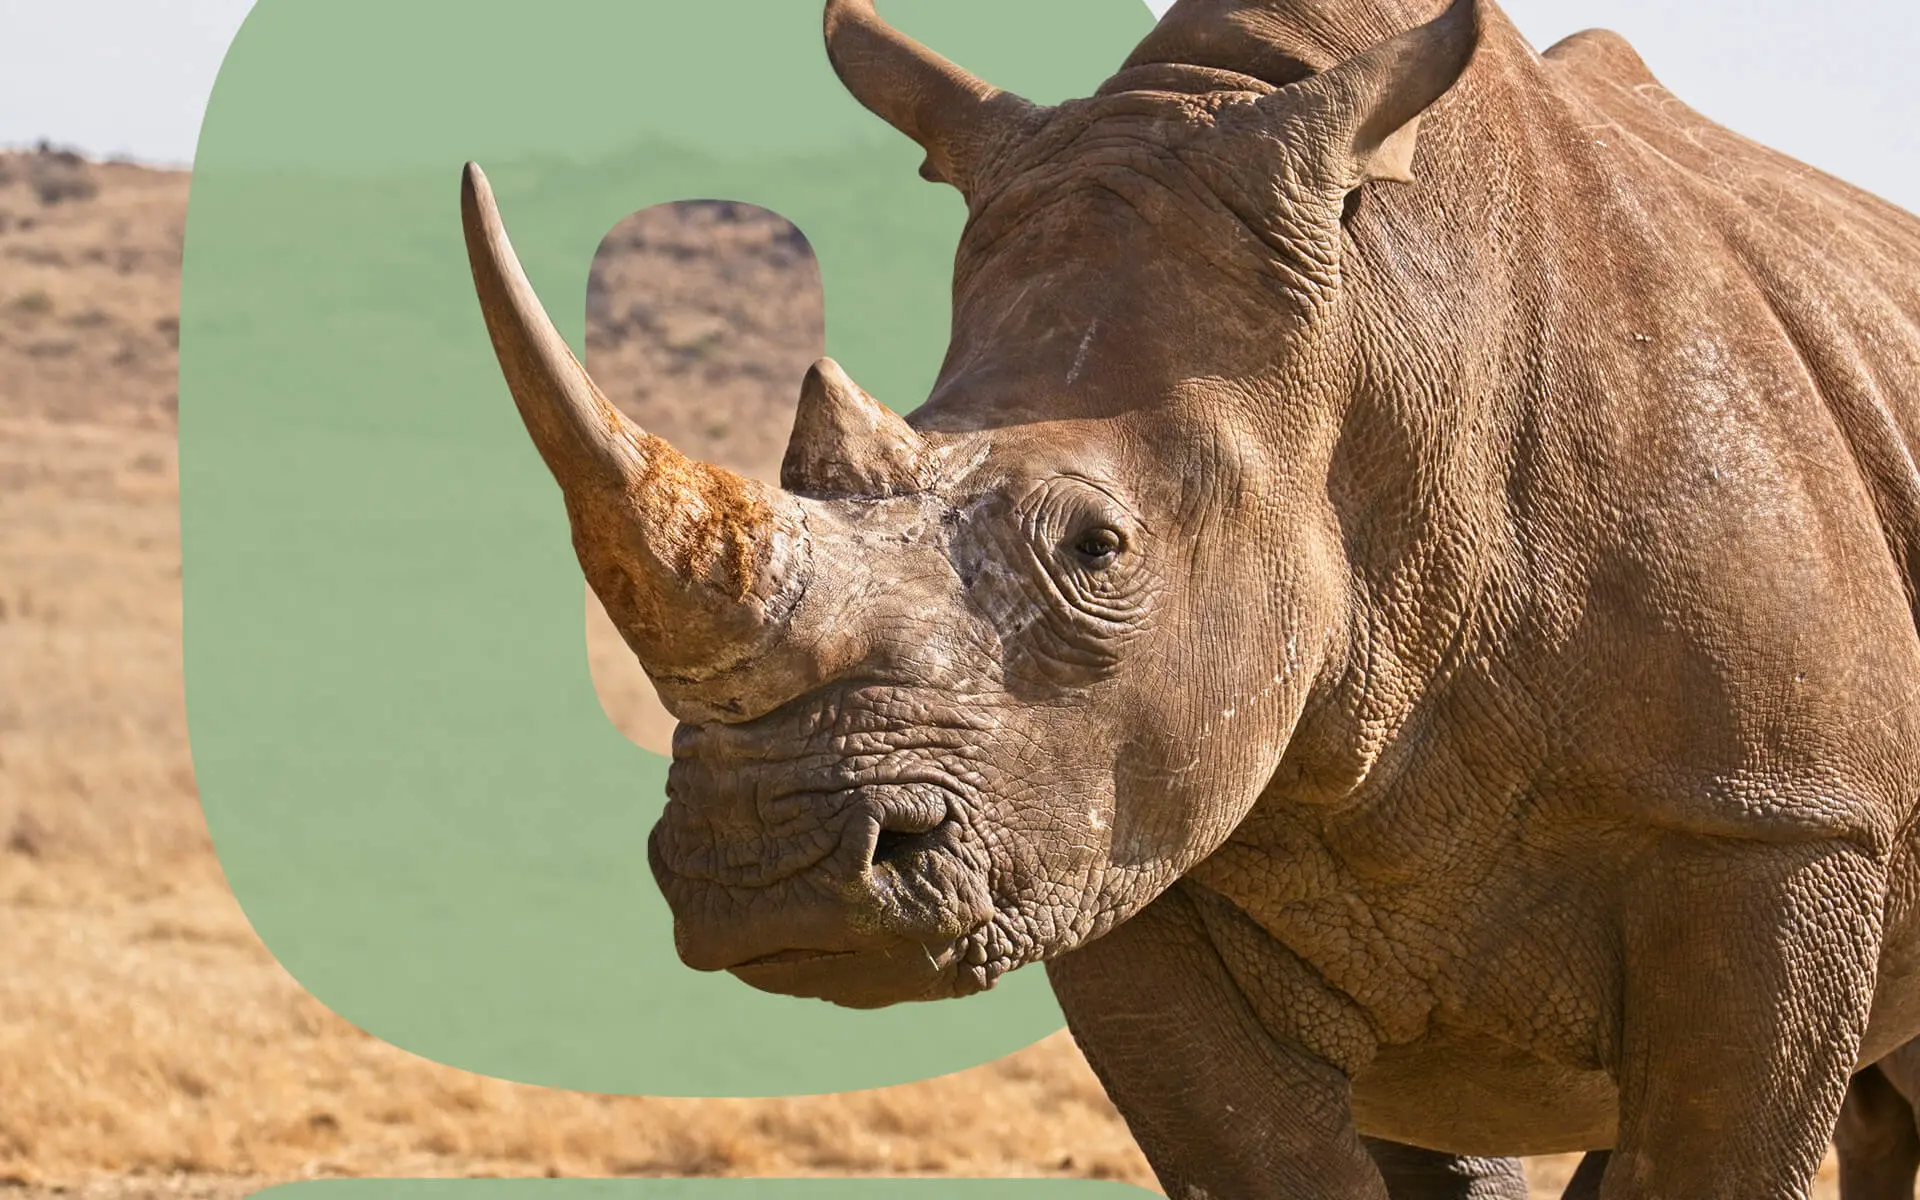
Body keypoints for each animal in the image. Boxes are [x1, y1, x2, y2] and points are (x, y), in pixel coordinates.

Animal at [457, 0, 1920, 1194]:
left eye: (1098, 549)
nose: (768, 871)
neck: (1389, 339)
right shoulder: (1115, 847)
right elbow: (1260, 1157)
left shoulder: (1773, 821)